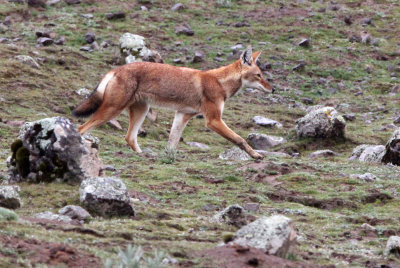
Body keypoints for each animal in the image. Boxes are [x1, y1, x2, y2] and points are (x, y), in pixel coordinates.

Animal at [72, 45, 274, 159]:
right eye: (259, 75)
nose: (273, 89)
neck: (220, 82)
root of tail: (117, 69)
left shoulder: (182, 115)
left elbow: (172, 143)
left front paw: (168, 159)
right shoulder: (213, 120)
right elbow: (239, 139)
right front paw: (256, 155)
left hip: (141, 111)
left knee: (129, 137)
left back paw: (143, 156)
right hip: (112, 111)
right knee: (81, 128)